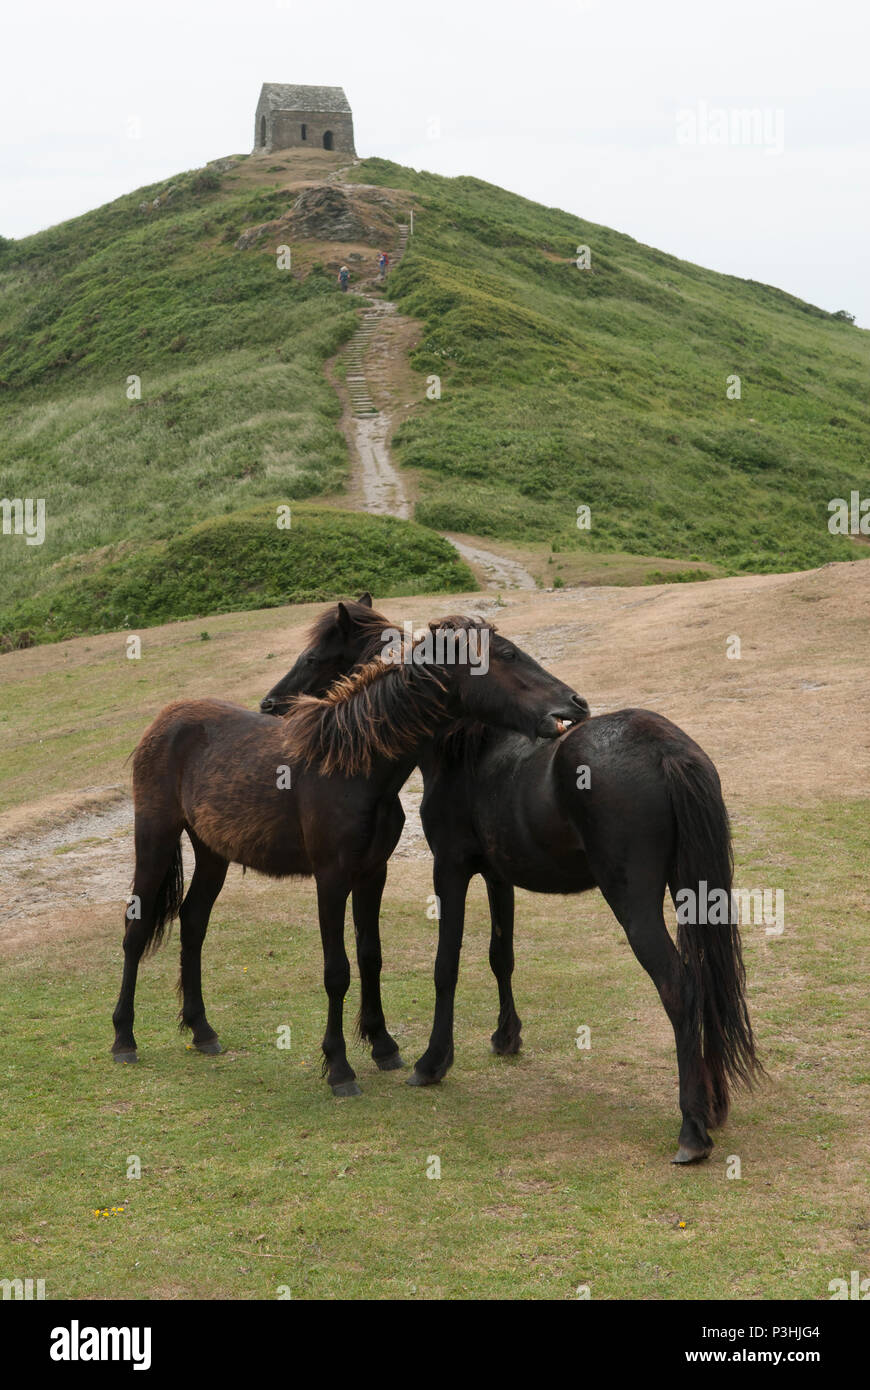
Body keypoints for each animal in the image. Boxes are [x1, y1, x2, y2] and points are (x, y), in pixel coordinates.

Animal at [109, 614, 583, 1089]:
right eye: (507, 654)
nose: (575, 704)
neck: (356, 766)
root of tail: (165, 718)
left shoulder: (372, 872)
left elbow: (370, 956)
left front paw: (383, 1046)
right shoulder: (332, 878)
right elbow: (337, 971)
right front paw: (339, 1066)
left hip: (212, 853)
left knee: (193, 923)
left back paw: (202, 1030)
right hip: (155, 838)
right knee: (136, 931)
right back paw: (124, 1039)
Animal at [262, 592, 756, 1156]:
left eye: (314, 657)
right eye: (510, 654)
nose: (272, 705)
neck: (469, 750)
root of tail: (664, 746)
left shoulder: (450, 870)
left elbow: (446, 965)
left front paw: (433, 1062)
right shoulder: (499, 877)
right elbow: (502, 956)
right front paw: (507, 1037)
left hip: (634, 904)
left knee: (680, 987)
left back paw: (692, 1128)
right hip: (692, 892)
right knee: (708, 982)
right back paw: (714, 1103)